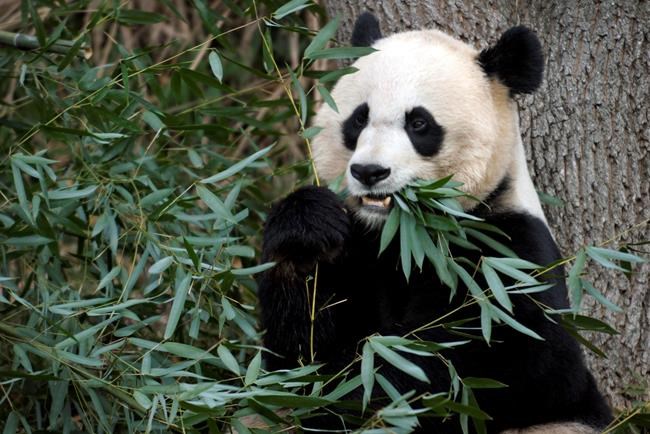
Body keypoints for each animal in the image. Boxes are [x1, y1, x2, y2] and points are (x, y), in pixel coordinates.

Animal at [258, 12, 612, 434]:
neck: (403, 235)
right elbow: (295, 353)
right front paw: (309, 232)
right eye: (359, 118)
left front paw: (358, 388)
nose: (369, 172)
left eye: (419, 124)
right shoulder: (362, 246)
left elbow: (489, 366)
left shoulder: (507, 256)